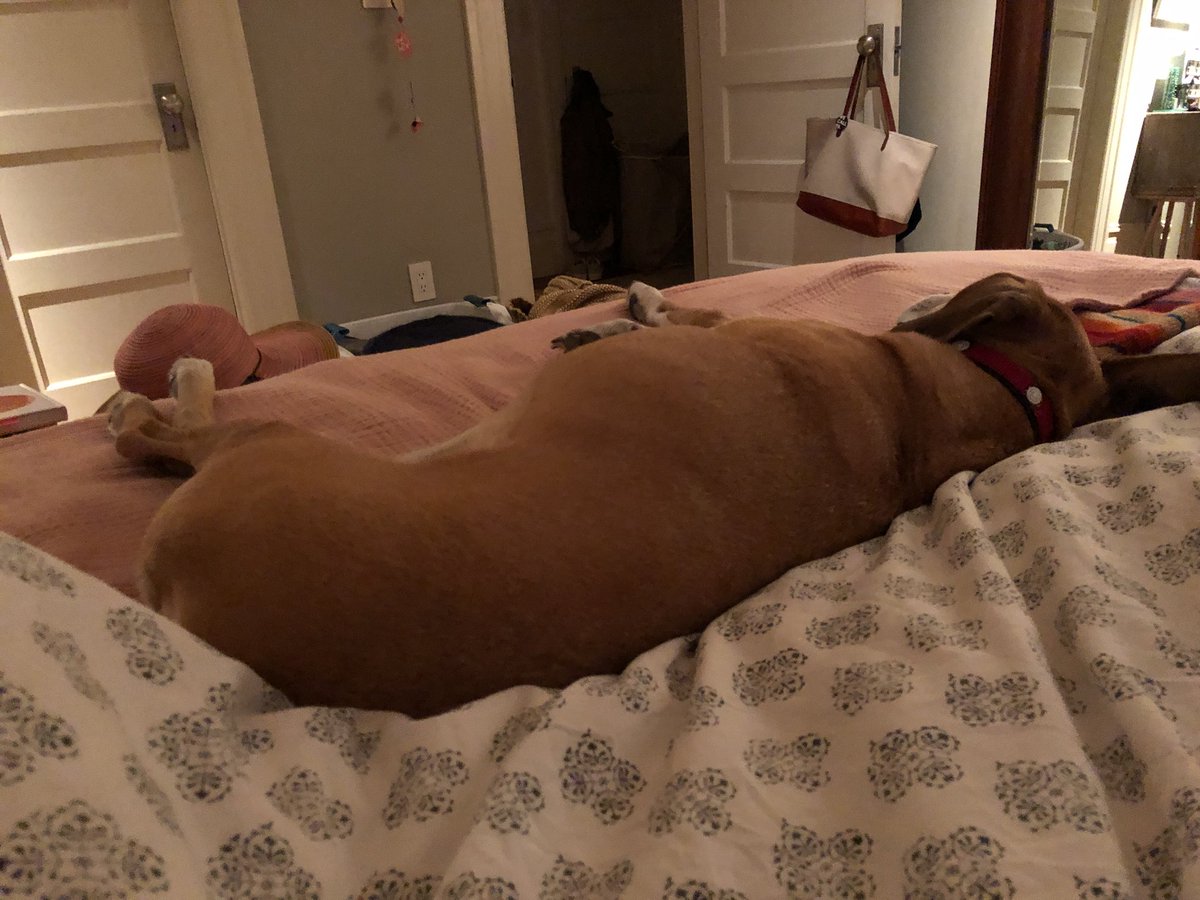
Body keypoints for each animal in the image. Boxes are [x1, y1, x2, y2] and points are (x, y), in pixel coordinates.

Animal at [107, 274, 1200, 717]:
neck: (1001, 397)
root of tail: (203, 630)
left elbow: (691, 312)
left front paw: (632, 309)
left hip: (269, 447)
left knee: (188, 428)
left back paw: (161, 393)